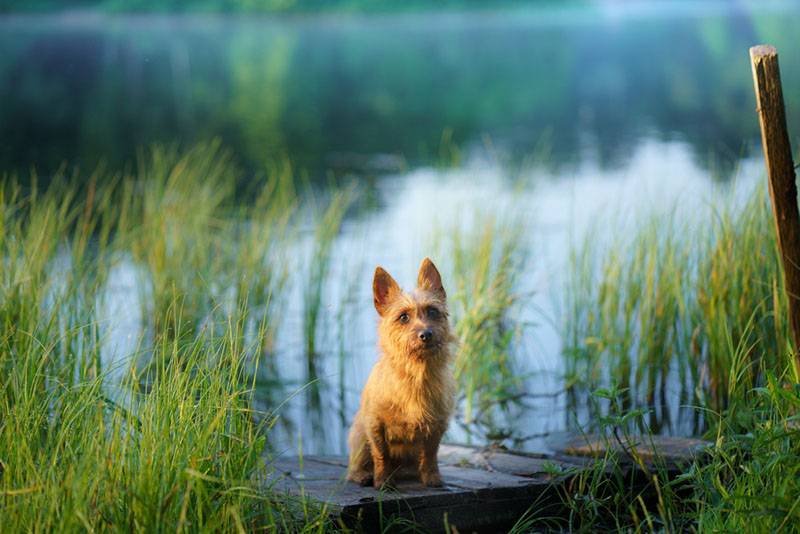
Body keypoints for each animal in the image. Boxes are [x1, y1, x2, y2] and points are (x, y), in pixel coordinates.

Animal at [346, 258, 454, 490]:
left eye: (432, 311)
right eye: (403, 317)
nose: (426, 334)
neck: (415, 373)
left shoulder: (437, 424)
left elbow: (430, 454)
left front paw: (432, 478)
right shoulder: (375, 425)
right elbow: (381, 455)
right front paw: (383, 481)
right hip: (359, 436)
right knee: (355, 466)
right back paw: (362, 475)